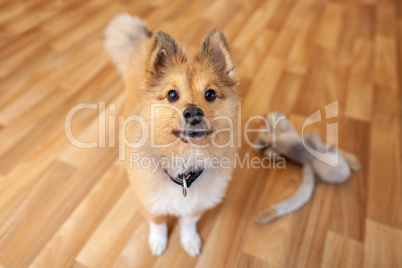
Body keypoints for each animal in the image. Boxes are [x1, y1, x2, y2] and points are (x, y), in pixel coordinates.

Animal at [103, 13, 239, 256]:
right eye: (172, 95)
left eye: (210, 94)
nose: (193, 113)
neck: (184, 166)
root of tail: (146, 38)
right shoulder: (149, 202)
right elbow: (157, 223)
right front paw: (158, 242)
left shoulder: (196, 204)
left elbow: (188, 223)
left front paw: (189, 240)